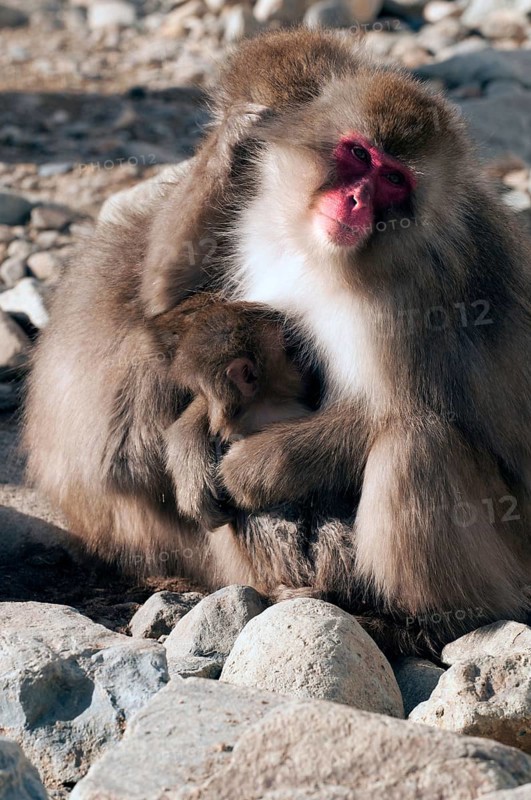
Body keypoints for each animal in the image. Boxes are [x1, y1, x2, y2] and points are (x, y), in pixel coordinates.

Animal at [24, 29, 531, 655]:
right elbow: (175, 314)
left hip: (514, 552)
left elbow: (393, 409)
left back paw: (434, 622)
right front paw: (191, 445)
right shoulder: (252, 226)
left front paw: (249, 470)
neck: (329, 255)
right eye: (358, 156)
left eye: (394, 180)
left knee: (416, 445)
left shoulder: (425, 294)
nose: (355, 201)